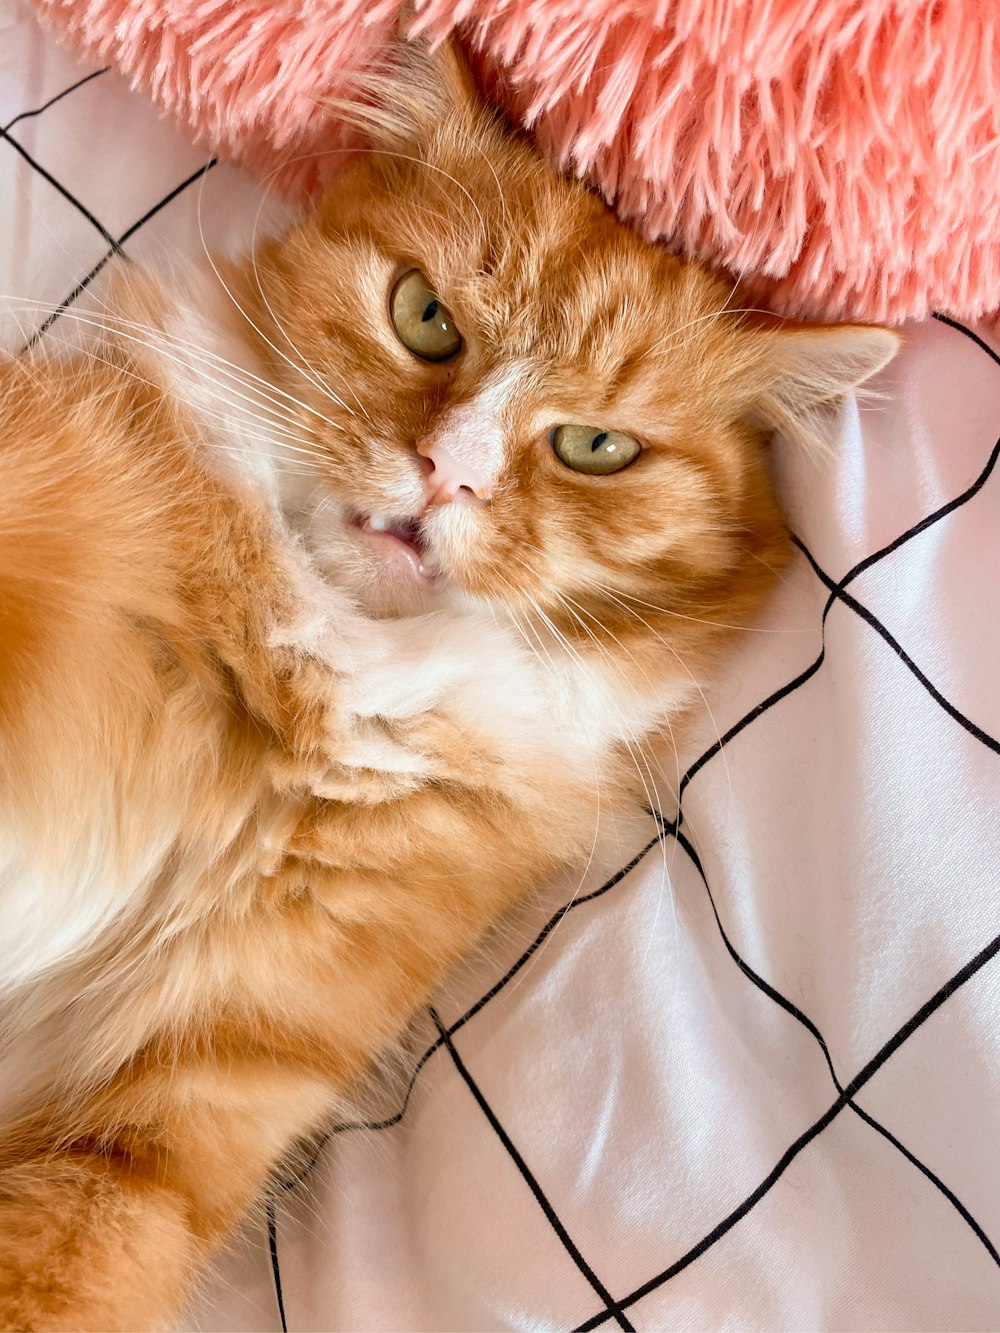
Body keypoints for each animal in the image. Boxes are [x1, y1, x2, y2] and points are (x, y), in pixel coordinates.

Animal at [0, 36, 896, 1327]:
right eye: (425, 318)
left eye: (595, 447)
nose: (445, 474)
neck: (317, 669)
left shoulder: (187, 1090)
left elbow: (66, 1270)